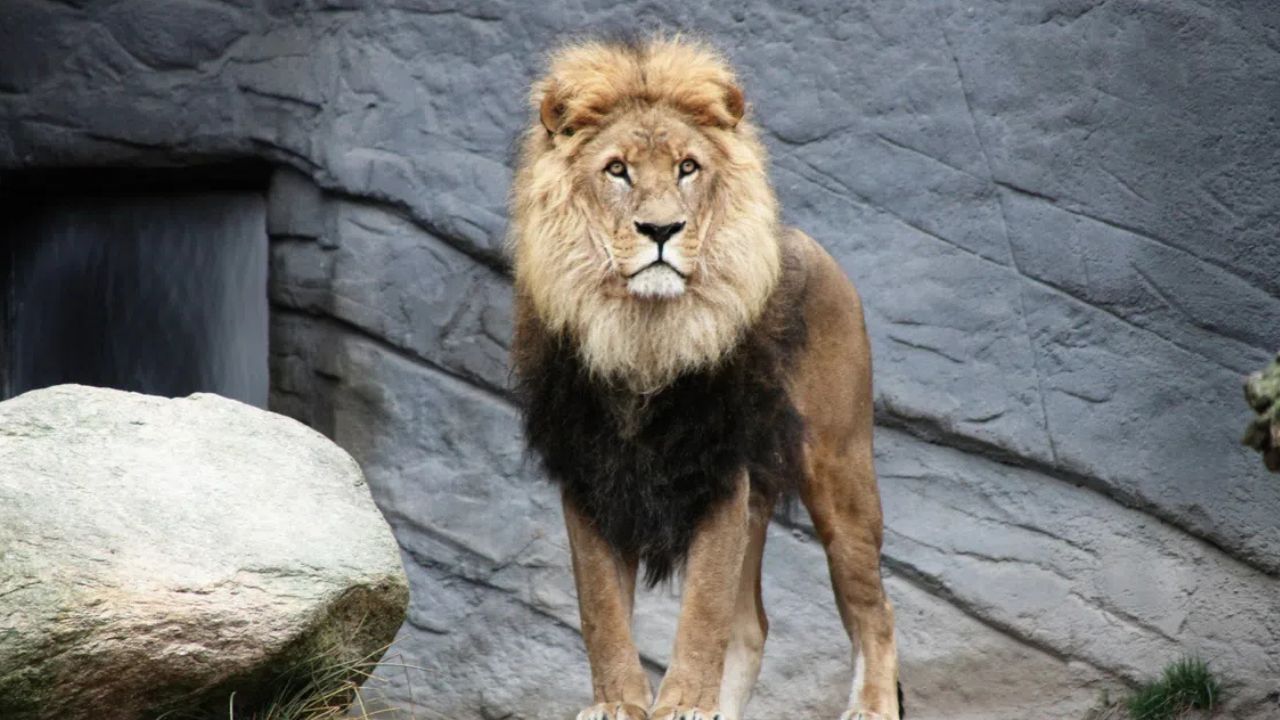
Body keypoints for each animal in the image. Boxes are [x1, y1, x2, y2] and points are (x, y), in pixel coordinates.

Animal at [508, 37, 902, 720]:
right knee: (753, 626)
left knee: (875, 609)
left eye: (688, 168)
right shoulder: (588, 475)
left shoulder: (720, 468)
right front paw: (620, 703)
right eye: (617, 170)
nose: (661, 230)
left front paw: (685, 704)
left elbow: (703, 611)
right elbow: (602, 613)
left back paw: (871, 707)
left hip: (840, 470)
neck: (643, 334)